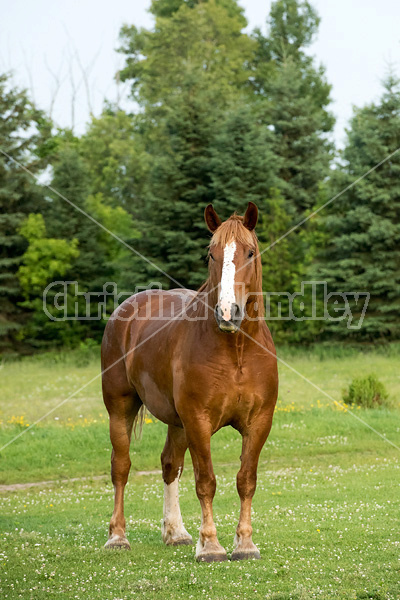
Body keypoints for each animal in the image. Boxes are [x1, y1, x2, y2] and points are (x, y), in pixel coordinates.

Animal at [101, 202, 278, 564]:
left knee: (170, 465)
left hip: (177, 422)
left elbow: (246, 480)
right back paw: (117, 537)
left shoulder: (259, 422)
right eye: (210, 254)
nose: (228, 313)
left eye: (250, 252)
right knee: (121, 467)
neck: (237, 352)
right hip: (120, 409)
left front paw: (245, 544)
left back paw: (176, 533)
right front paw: (210, 545)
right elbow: (206, 481)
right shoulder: (198, 421)